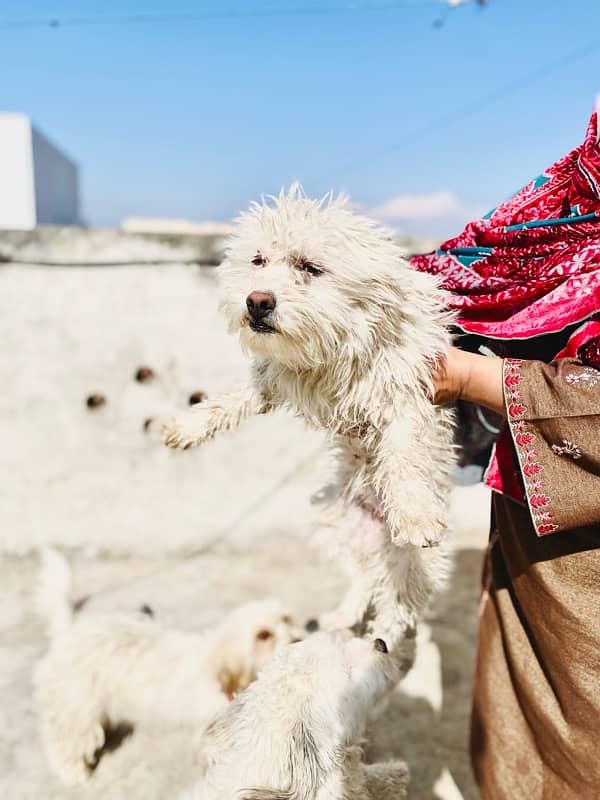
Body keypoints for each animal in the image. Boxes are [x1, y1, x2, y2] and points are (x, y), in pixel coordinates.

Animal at [32, 548, 300, 784]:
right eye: (263, 635)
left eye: (287, 619)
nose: (298, 640)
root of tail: (68, 632)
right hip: (77, 707)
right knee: (65, 740)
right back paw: (71, 772)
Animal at [162, 186, 452, 648]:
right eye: (258, 260)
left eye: (310, 268)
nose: (257, 301)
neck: (328, 350)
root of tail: (374, 531)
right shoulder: (273, 379)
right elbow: (232, 400)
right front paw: (188, 426)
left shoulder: (404, 392)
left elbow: (405, 456)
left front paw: (415, 513)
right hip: (335, 525)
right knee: (364, 581)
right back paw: (343, 617)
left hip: (409, 562)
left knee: (397, 601)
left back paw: (381, 642)